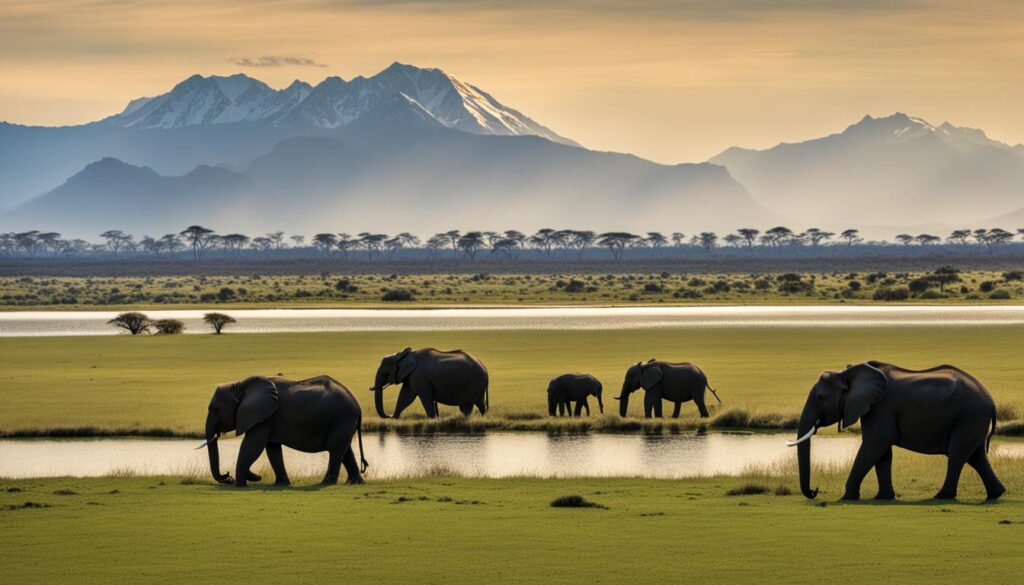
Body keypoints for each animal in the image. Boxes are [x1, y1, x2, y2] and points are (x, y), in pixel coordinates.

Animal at [198, 374, 368, 489]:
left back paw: (325, 483)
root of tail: (358, 406)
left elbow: (252, 446)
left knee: (336, 450)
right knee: (345, 450)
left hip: (341, 418)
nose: (228, 476)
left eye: (216, 409)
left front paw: (240, 485)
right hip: (343, 422)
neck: (240, 385)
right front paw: (281, 484)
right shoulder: (268, 417)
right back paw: (355, 483)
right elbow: (272, 449)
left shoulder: (264, 417)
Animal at [790, 362, 1007, 504]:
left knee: (957, 455)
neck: (847, 373)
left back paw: (942, 496)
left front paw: (847, 497)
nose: (815, 491)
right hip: (971, 418)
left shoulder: (882, 407)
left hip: (970, 415)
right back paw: (996, 494)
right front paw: (883, 497)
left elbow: (875, 446)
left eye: (820, 398)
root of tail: (991, 402)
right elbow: (882, 453)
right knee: (976, 456)